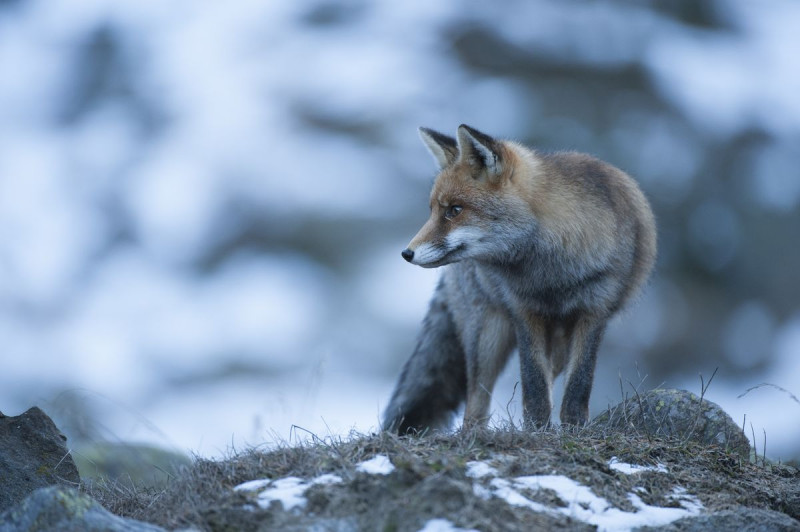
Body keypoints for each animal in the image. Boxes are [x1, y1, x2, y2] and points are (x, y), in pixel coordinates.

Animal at [383, 124, 656, 434]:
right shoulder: (524, 312)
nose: (406, 253)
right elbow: (533, 383)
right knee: (476, 401)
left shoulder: (595, 311)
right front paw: (536, 429)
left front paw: (573, 428)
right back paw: (473, 435)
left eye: (454, 210)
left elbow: (578, 384)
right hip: (487, 335)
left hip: (556, 341)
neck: (553, 275)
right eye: (432, 211)